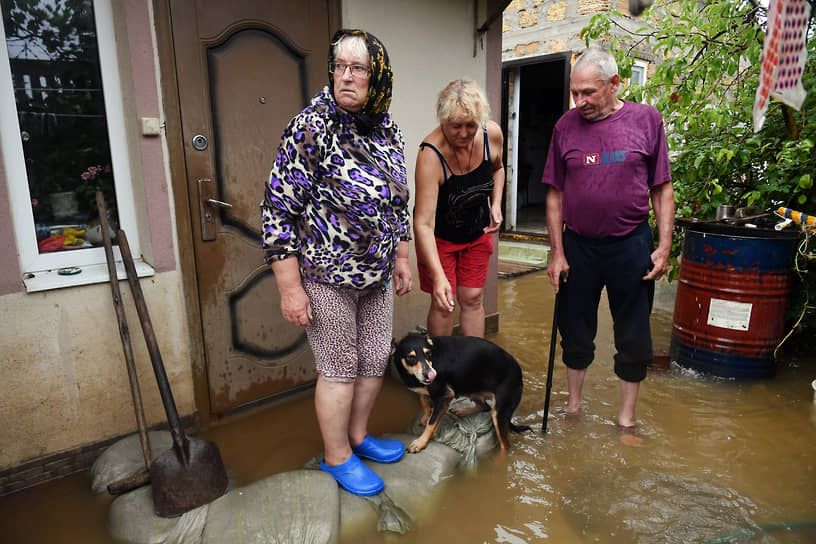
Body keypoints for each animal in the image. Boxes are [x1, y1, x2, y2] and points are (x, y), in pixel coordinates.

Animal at [392, 332, 532, 454]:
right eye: (411, 357)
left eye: (428, 354)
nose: (431, 375)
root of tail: (519, 372)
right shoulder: (427, 390)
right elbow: (424, 401)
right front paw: (426, 416)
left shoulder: (445, 396)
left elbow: (431, 424)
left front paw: (420, 442)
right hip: (471, 388)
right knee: (485, 406)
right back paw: (462, 411)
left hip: (499, 413)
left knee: (505, 447)